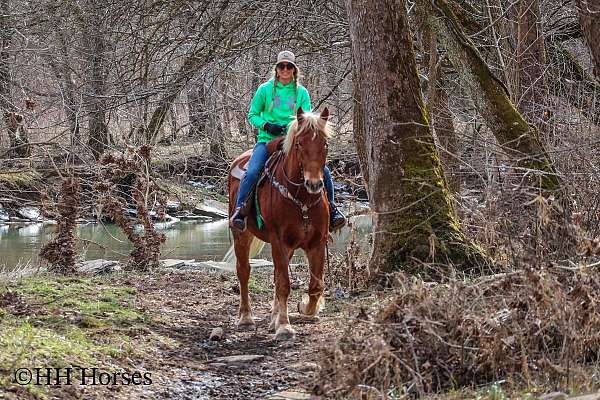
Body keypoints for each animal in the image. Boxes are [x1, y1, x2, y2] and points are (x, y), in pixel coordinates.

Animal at [226, 107, 330, 340]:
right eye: (299, 143)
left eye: (325, 144)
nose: (314, 184)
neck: (302, 200)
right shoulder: (279, 242)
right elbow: (283, 284)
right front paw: (284, 326)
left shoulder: (317, 243)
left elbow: (316, 285)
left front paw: (305, 309)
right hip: (242, 235)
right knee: (243, 271)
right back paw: (245, 317)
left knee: (275, 274)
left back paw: (273, 317)